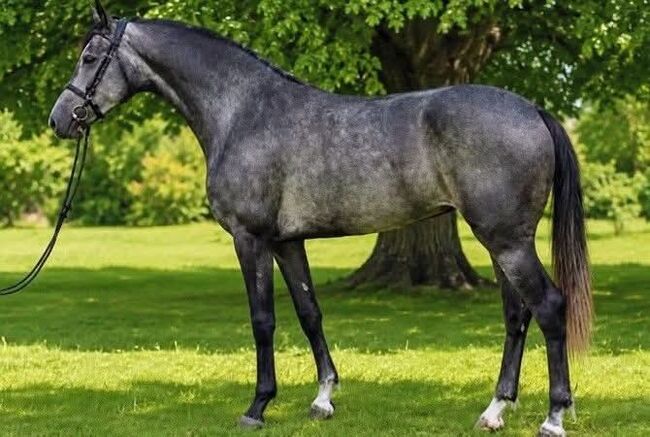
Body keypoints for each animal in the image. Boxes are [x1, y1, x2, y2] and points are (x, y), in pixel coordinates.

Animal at [49, 3, 592, 436]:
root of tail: (533, 110)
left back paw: (553, 417)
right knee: (517, 315)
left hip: (507, 241)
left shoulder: (250, 238)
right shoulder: (288, 242)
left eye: (90, 58)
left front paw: (257, 407)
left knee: (548, 307)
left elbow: (263, 320)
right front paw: (323, 399)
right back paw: (495, 410)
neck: (242, 112)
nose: (59, 119)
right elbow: (310, 313)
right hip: (499, 242)